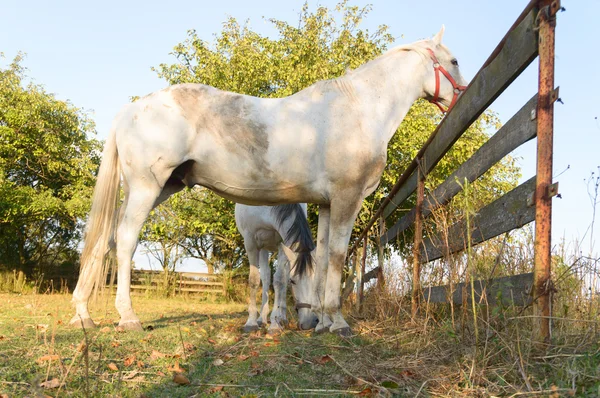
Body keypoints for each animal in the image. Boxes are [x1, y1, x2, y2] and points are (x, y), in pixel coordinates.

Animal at [233, 202, 318, 332]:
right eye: (293, 281)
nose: (310, 323)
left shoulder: (283, 242)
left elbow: (280, 280)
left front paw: (275, 323)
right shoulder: (250, 241)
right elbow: (254, 280)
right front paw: (251, 323)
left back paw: (281, 318)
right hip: (262, 247)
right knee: (265, 276)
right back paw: (261, 319)